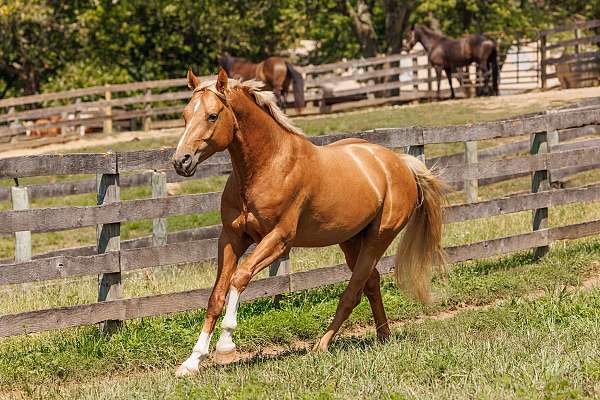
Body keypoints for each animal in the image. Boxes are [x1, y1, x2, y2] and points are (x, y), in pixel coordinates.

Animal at [170, 67, 446, 376]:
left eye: (212, 116)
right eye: (185, 115)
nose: (181, 161)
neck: (268, 166)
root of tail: (399, 162)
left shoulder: (279, 240)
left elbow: (239, 278)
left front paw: (225, 345)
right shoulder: (231, 238)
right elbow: (216, 296)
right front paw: (192, 361)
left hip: (378, 238)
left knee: (353, 292)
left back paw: (321, 346)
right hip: (350, 241)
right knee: (371, 283)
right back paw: (382, 336)